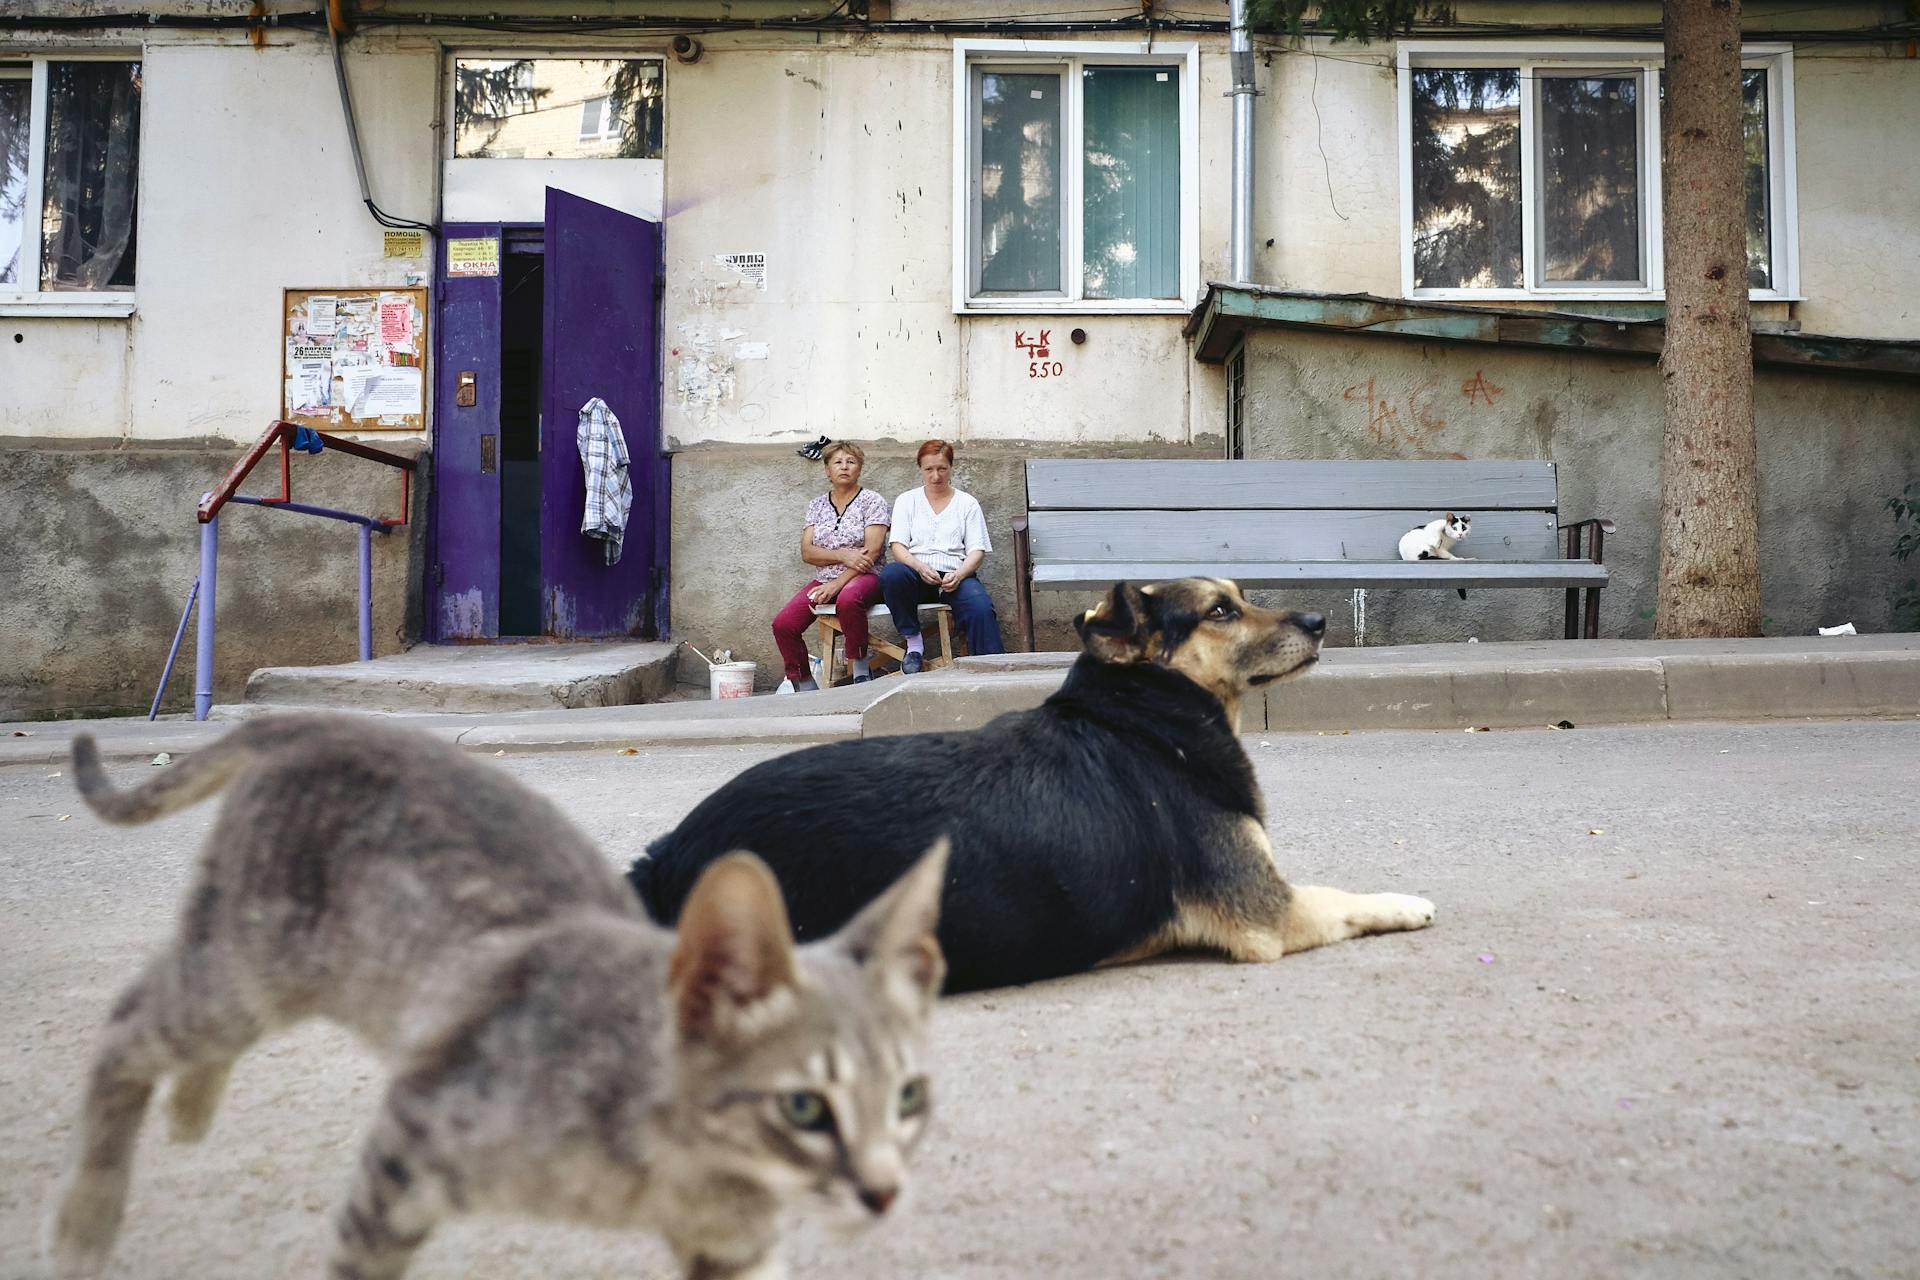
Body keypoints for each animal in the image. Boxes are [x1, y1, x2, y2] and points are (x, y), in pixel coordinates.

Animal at [45, 721, 944, 1280]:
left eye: (909, 1097)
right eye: (804, 1107)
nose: (886, 1191)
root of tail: (307, 718)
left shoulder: (735, 1246)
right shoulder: (411, 1140)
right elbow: (360, 1257)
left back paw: (190, 1108)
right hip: (245, 966)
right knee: (127, 1025)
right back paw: (87, 1222)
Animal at [629, 579, 1443, 990]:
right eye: (1221, 610)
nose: (1321, 617)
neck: (1145, 715)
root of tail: (668, 857)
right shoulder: (1270, 911)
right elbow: (1344, 896)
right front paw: (1406, 901)